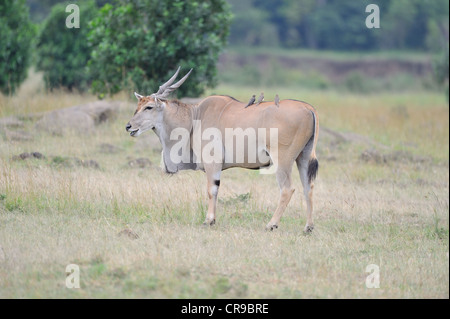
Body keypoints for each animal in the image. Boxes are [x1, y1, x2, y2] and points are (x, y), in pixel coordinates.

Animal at [125, 67, 318, 232]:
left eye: (149, 107)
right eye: (137, 107)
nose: (128, 126)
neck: (194, 118)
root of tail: (309, 109)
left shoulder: (212, 162)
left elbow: (212, 190)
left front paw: (209, 220)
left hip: (282, 159)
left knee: (287, 189)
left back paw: (271, 224)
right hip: (303, 158)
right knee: (308, 187)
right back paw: (308, 227)